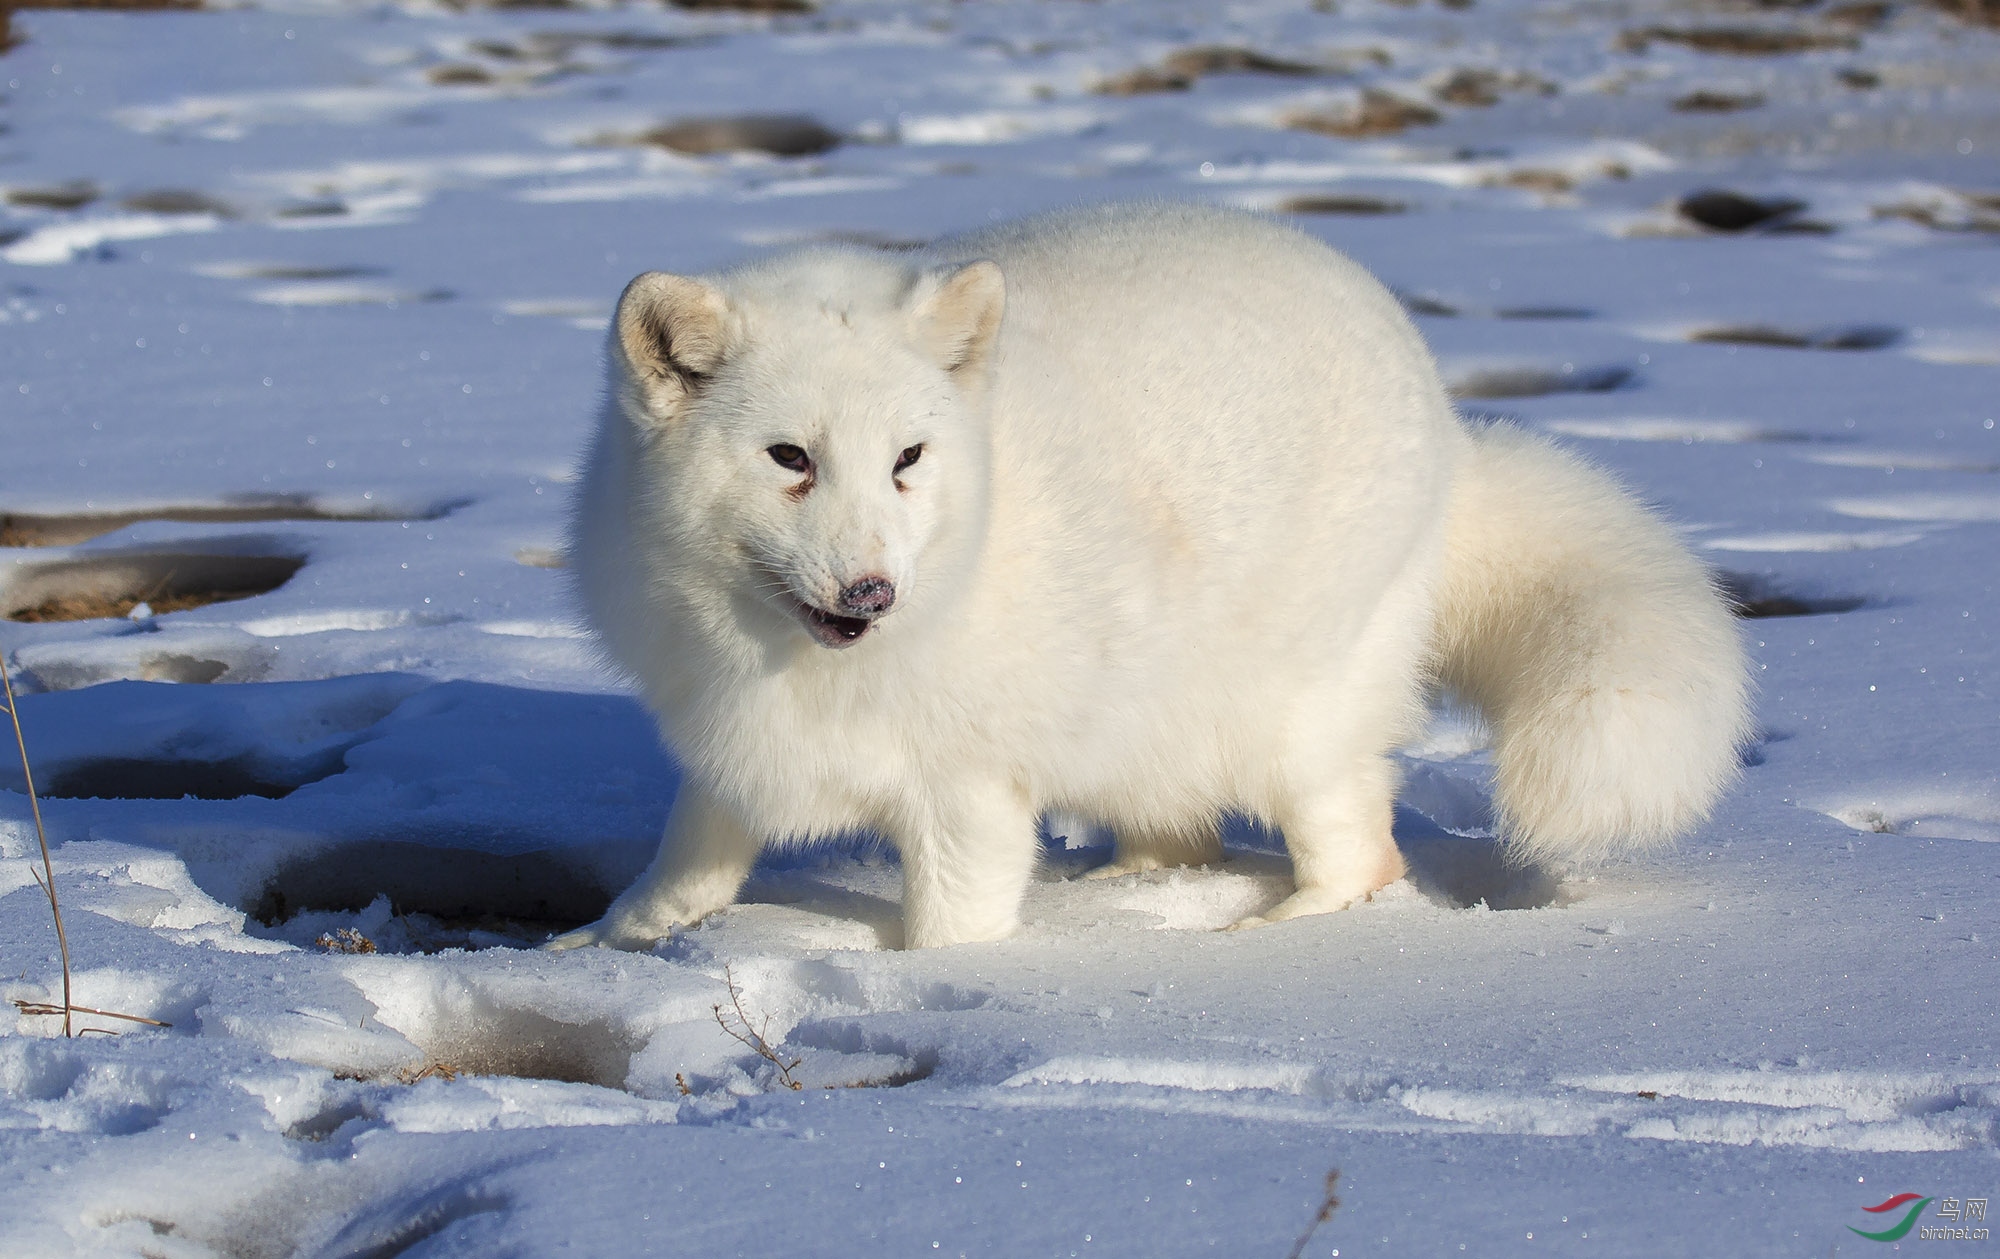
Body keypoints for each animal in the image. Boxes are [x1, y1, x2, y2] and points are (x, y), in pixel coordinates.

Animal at [548, 201, 1752, 951]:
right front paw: (611, 938)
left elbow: (949, 930)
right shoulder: (728, 744)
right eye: (788, 457)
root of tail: (1452, 426)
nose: (871, 593)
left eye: (907, 459)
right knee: (1184, 829)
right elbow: (690, 854)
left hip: (1292, 718)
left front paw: (927, 983)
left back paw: (1273, 927)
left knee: (1363, 847)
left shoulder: (967, 793)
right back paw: (1133, 889)